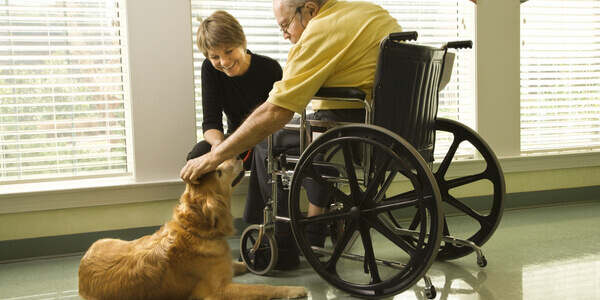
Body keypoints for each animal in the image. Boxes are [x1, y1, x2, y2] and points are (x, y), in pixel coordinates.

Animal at [78, 158, 308, 298]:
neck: (197, 231)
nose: (238, 157)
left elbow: (238, 264)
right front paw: (293, 289)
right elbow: (262, 287)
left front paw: (254, 261)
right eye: (218, 172)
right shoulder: (219, 291)